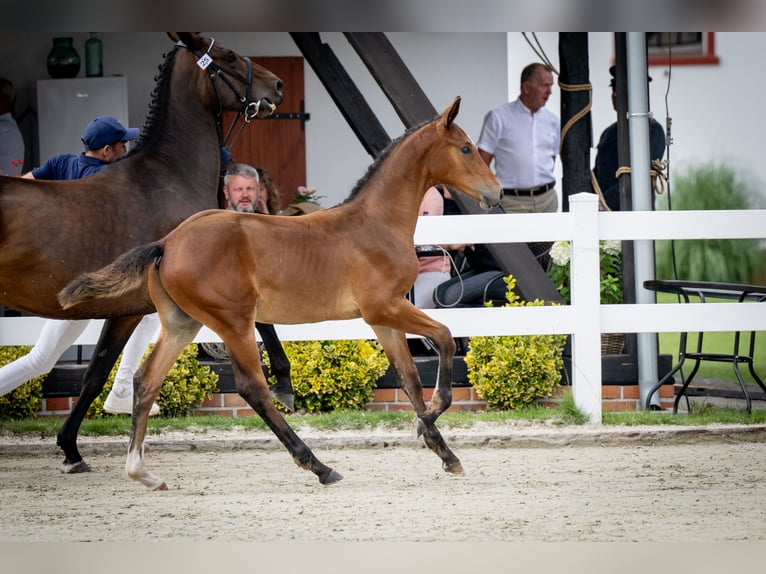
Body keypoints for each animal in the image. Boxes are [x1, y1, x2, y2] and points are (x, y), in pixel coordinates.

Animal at [0, 32, 290, 474]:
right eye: (227, 56)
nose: (276, 86)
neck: (168, 175)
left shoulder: (125, 307)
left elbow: (95, 372)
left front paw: (70, 448)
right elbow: (264, 321)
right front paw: (285, 381)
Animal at [59, 96, 502, 490]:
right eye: (465, 148)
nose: (496, 194)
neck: (376, 223)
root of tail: (167, 242)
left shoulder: (382, 319)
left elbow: (409, 379)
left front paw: (444, 451)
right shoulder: (385, 307)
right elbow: (445, 337)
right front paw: (431, 415)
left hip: (182, 322)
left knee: (147, 380)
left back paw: (142, 471)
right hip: (234, 322)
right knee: (253, 388)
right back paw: (319, 466)